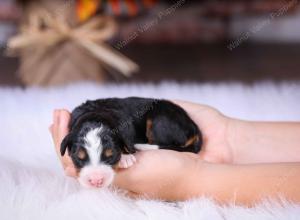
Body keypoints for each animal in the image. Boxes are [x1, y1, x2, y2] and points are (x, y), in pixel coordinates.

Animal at [60, 98, 202, 189]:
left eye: (111, 155)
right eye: (79, 157)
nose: (96, 180)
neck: (95, 115)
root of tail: (193, 127)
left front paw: (126, 158)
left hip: (160, 120)